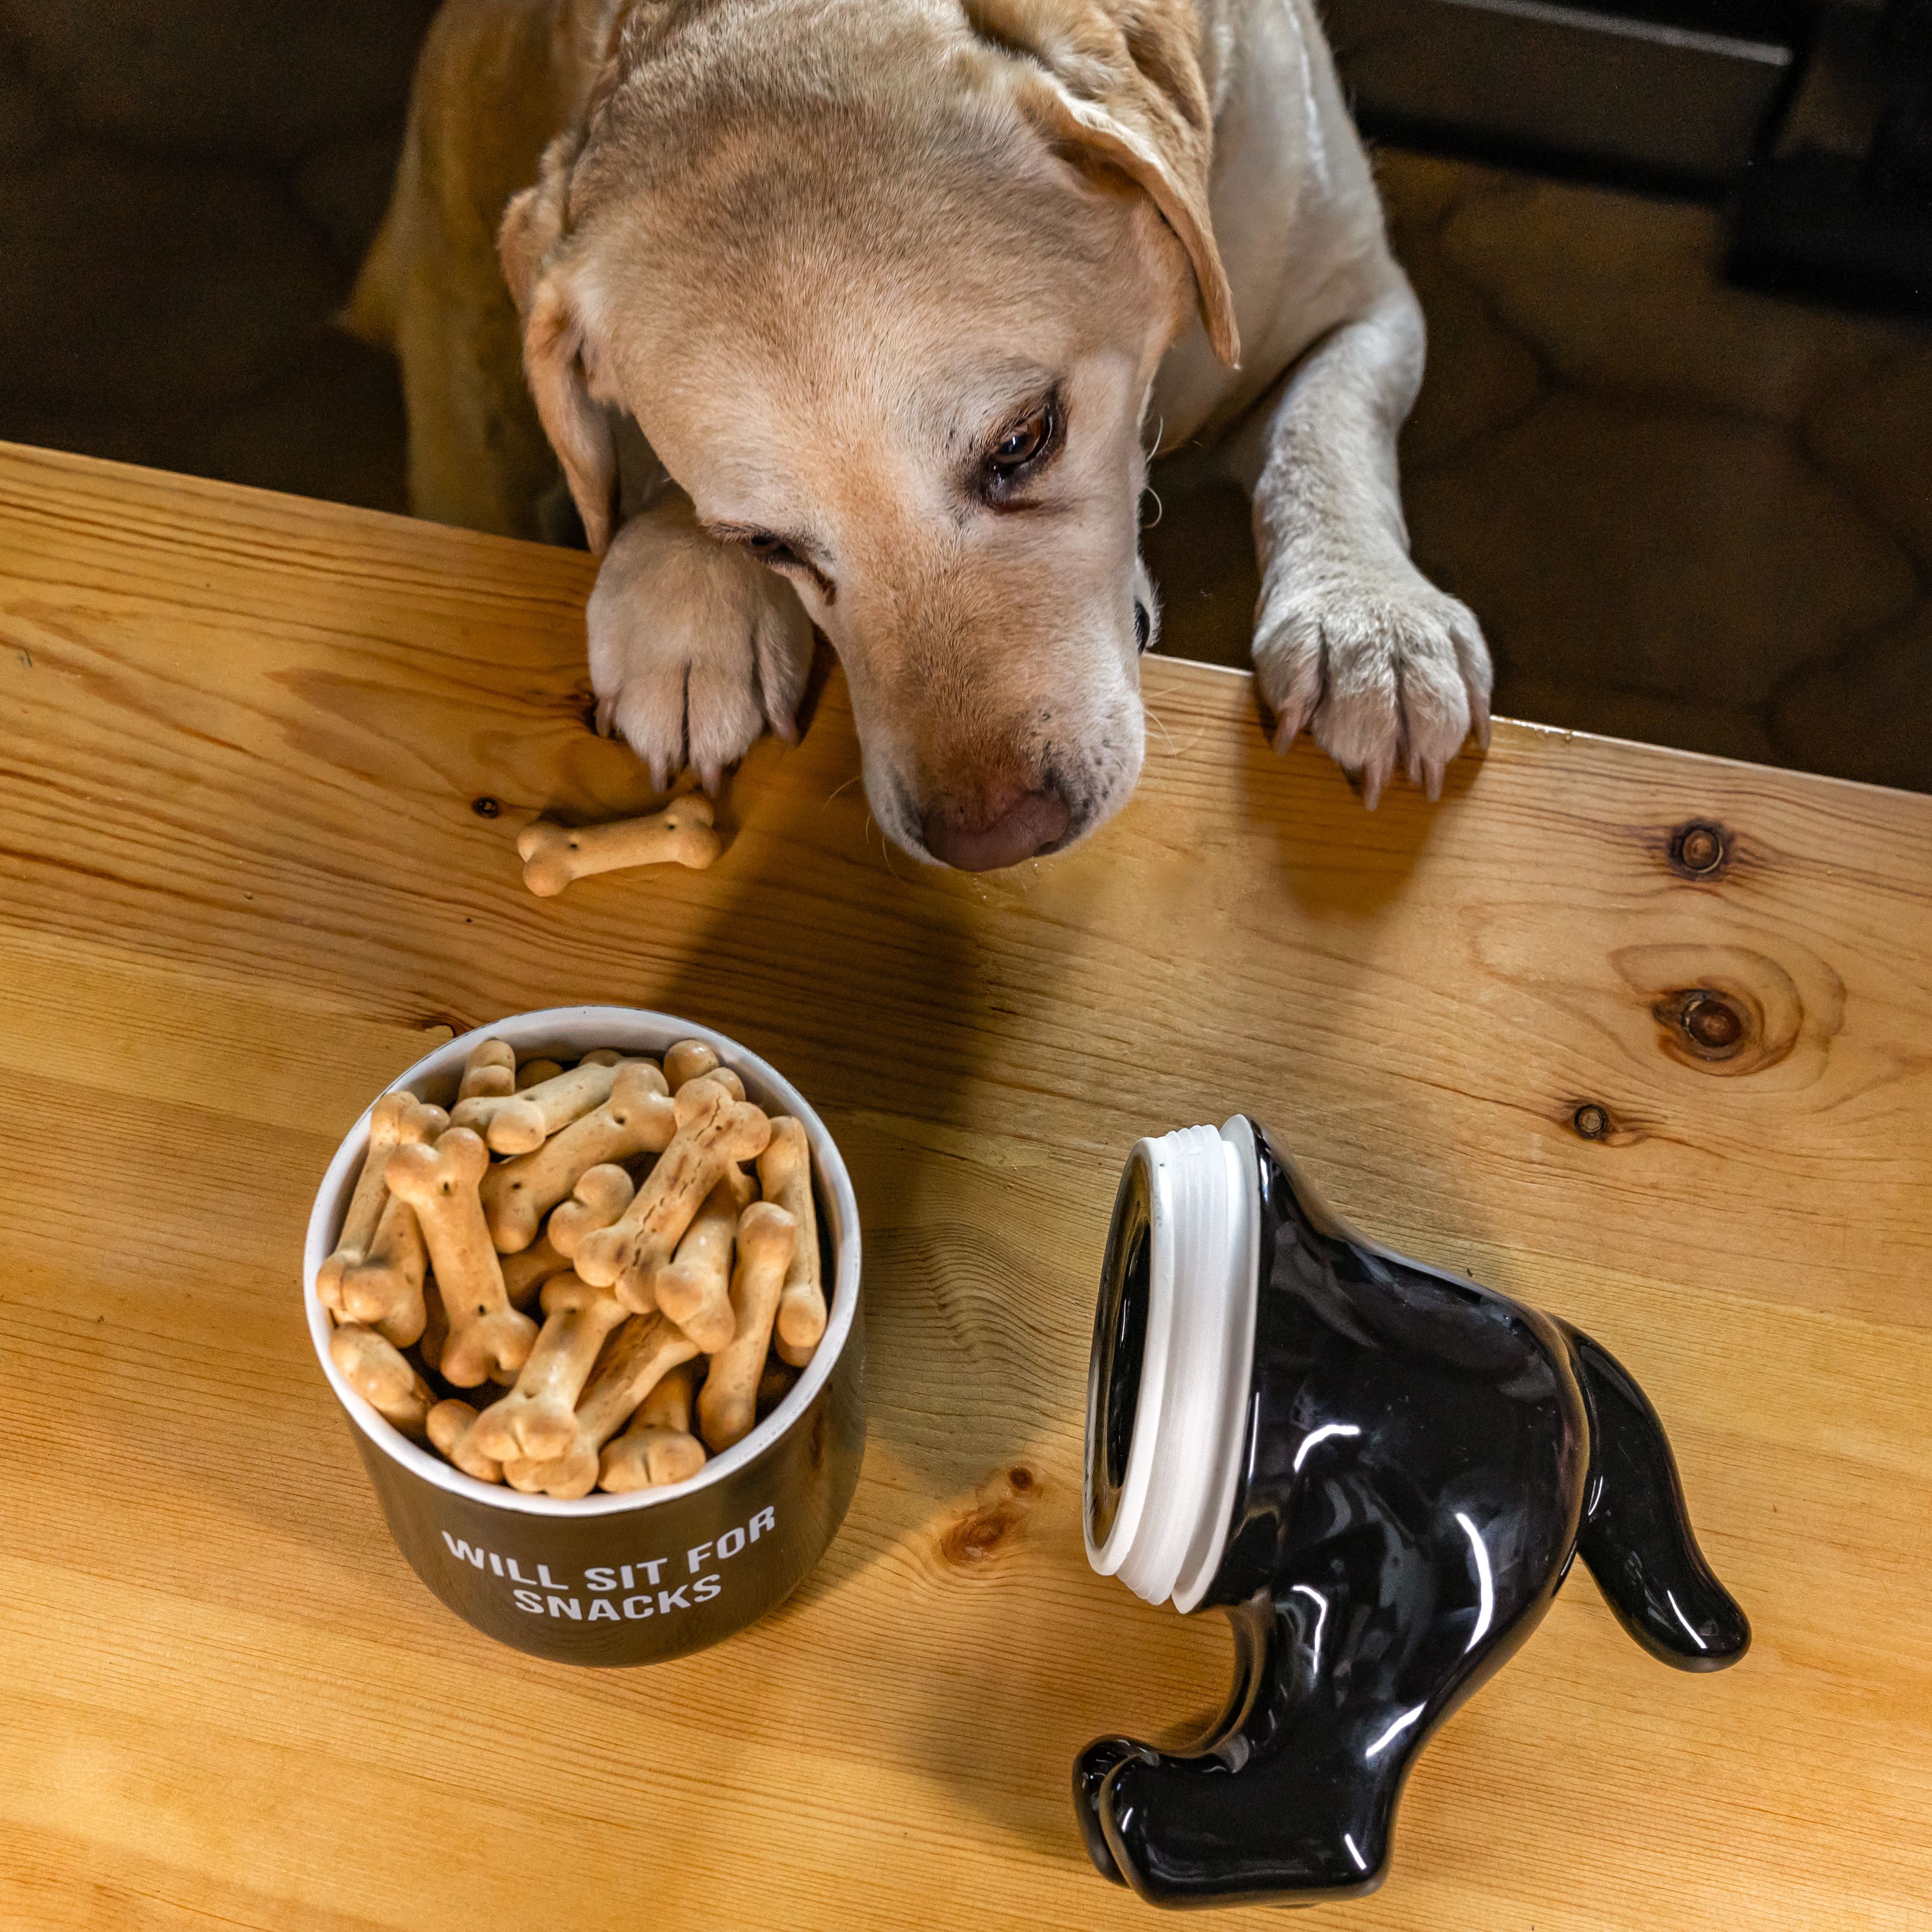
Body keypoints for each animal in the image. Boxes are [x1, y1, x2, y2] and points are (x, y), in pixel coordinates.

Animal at [351, 0, 1491, 869]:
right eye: (766, 542)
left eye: (1024, 439)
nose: (995, 838)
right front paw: (688, 602)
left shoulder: (1358, 297)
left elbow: (1323, 421)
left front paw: (1371, 626)